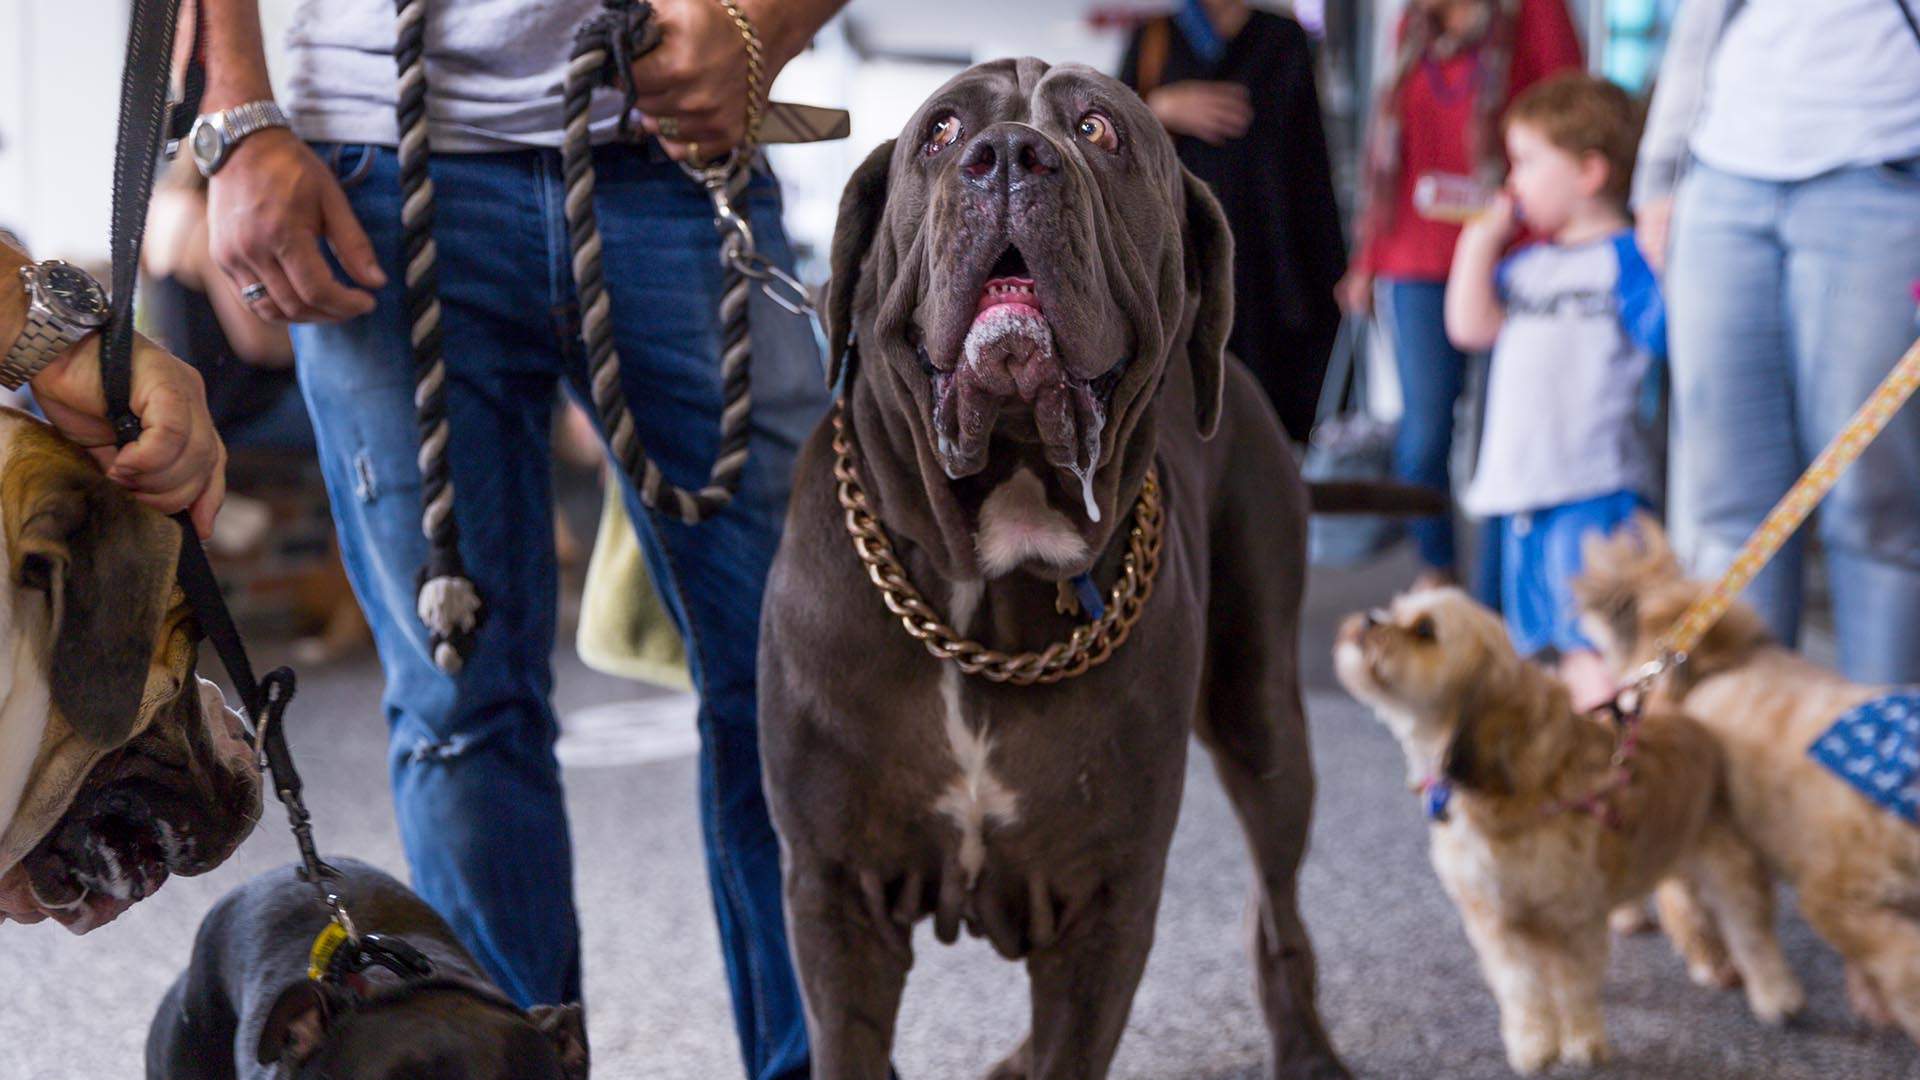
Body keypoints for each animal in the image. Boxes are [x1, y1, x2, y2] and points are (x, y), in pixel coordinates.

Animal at [756, 58, 1344, 1076]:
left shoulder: (1105, 903)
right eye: (943, 131)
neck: (986, 583)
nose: (1008, 156)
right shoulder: (835, 893)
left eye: (1101, 130)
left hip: (1263, 716)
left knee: (1278, 906)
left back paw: (1306, 1046)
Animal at [1336, 588, 1797, 1068]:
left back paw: (1776, 996)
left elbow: (1574, 987)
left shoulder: (1571, 918)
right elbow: (1521, 989)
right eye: (1394, 609)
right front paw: (1533, 1043)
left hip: (1728, 867)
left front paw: (1582, 1040)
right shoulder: (1497, 922)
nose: (1368, 621)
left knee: (1753, 935)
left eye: (1425, 629)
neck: (1506, 786)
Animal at [1574, 522, 1920, 1045]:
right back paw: (1734, 970)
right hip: (1706, 831)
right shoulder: (1833, 895)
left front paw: (1874, 998)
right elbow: (1902, 959)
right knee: (1702, 906)